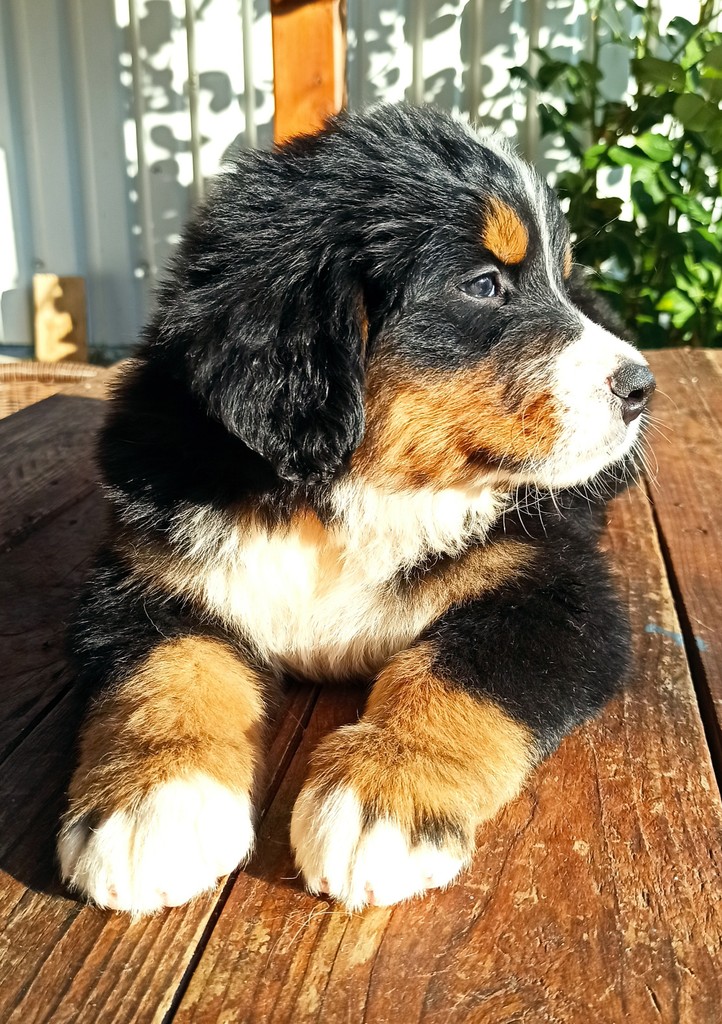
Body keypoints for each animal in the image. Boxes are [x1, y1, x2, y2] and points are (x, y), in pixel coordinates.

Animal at [58, 104, 655, 914]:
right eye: (484, 285)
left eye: (555, 280)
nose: (641, 386)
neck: (350, 495)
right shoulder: (145, 575)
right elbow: (165, 672)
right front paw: (153, 804)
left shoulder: (555, 591)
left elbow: (459, 674)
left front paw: (386, 794)